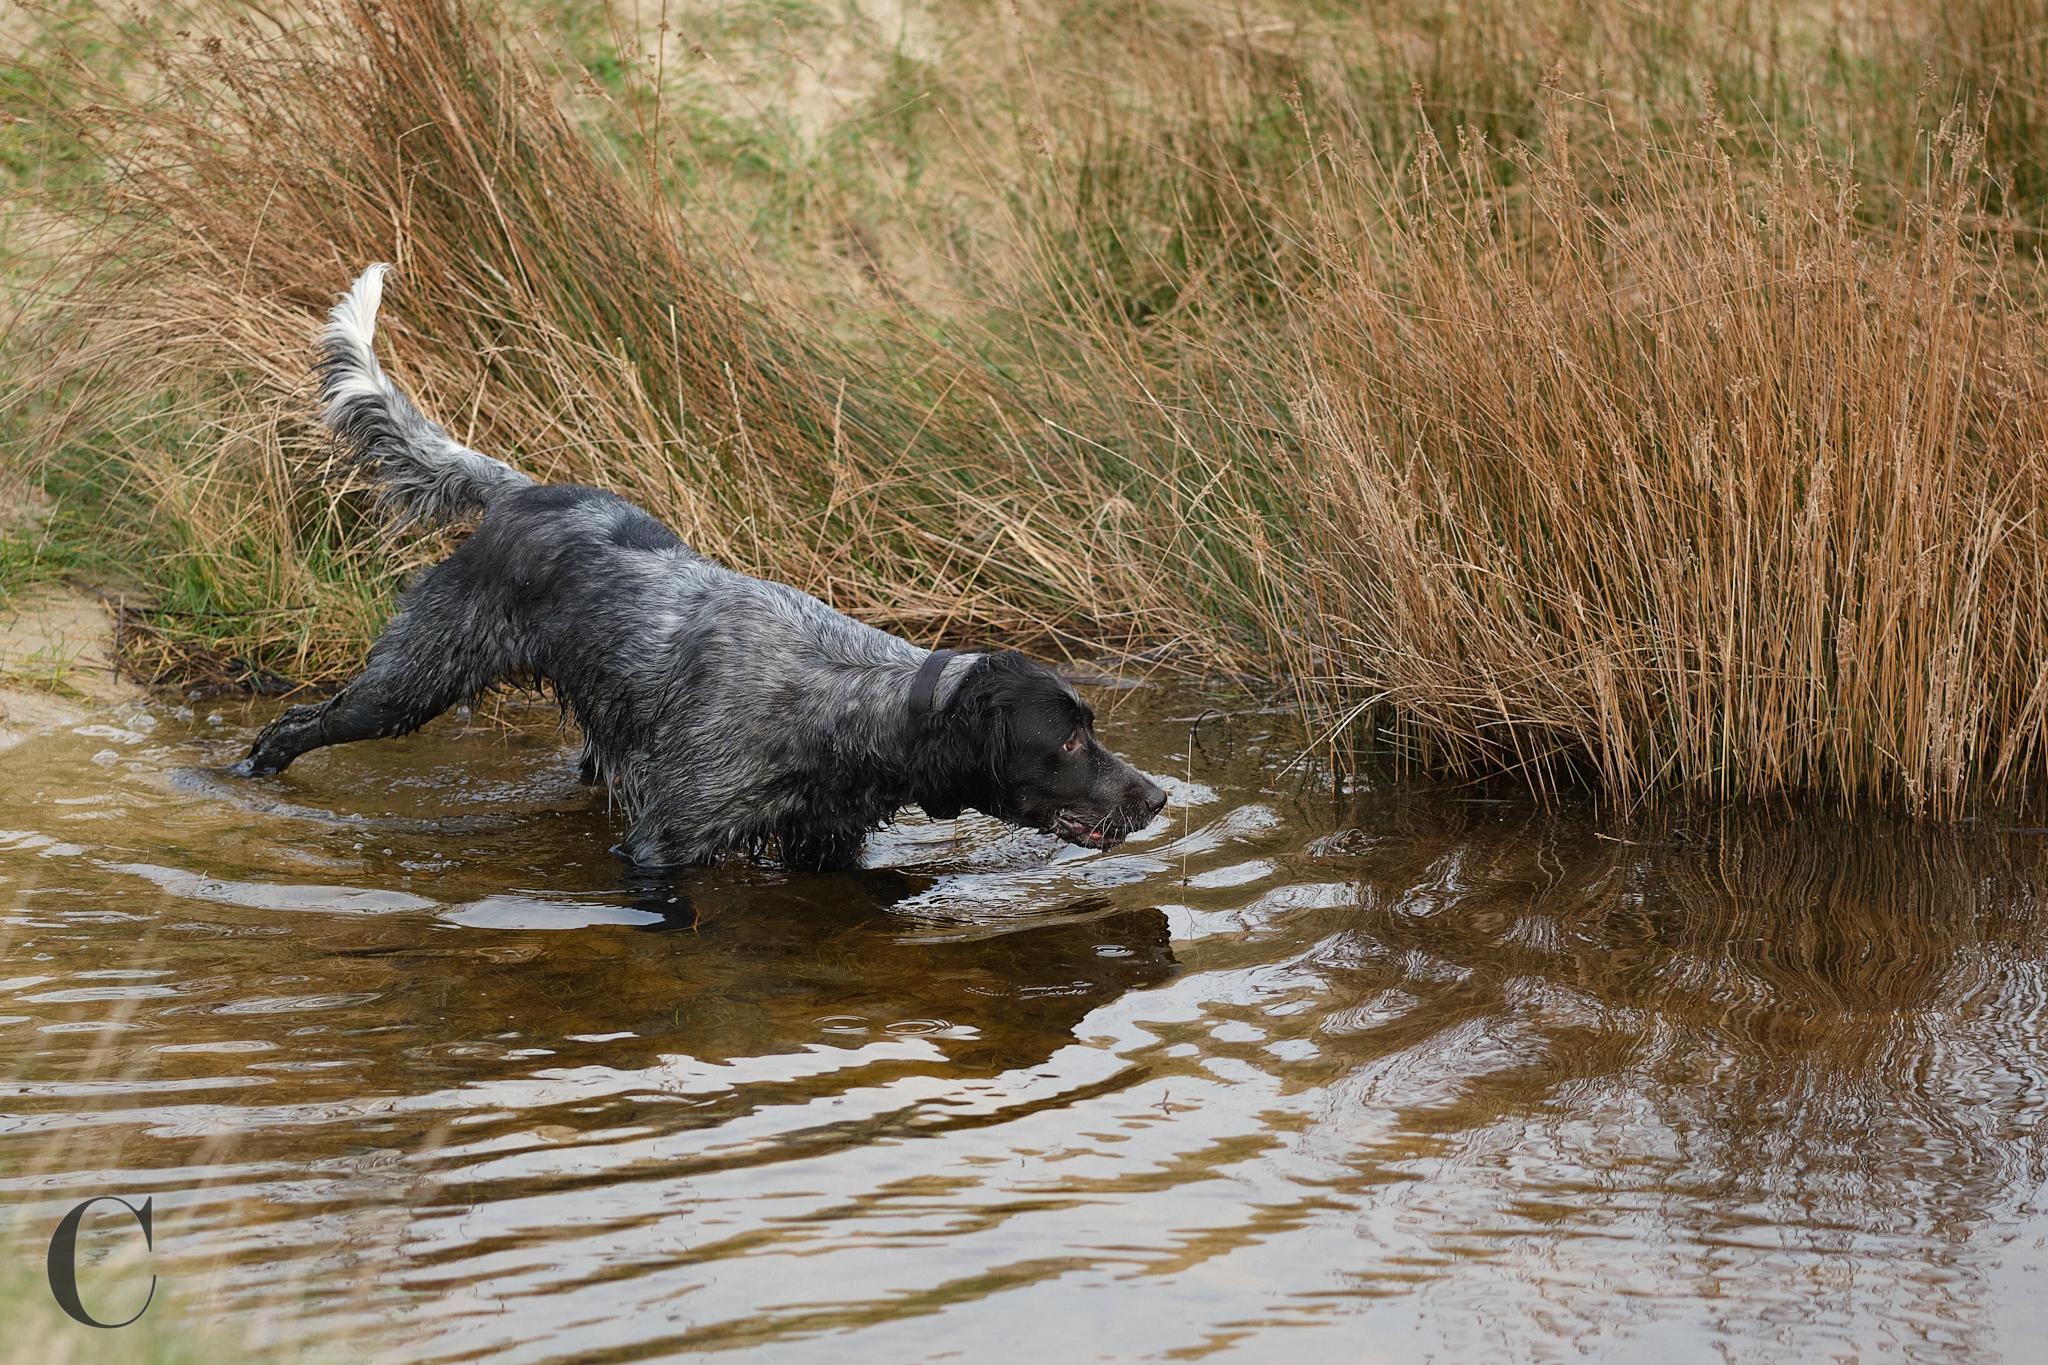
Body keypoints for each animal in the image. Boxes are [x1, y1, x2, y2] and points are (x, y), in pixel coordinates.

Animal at [230, 261, 1163, 871]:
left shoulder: (824, 844)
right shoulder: (665, 843)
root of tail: (518, 493)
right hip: (408, 684)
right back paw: (249, 775)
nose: (1157, 796)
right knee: (296, 725)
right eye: (1068, 738)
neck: (848, 699)